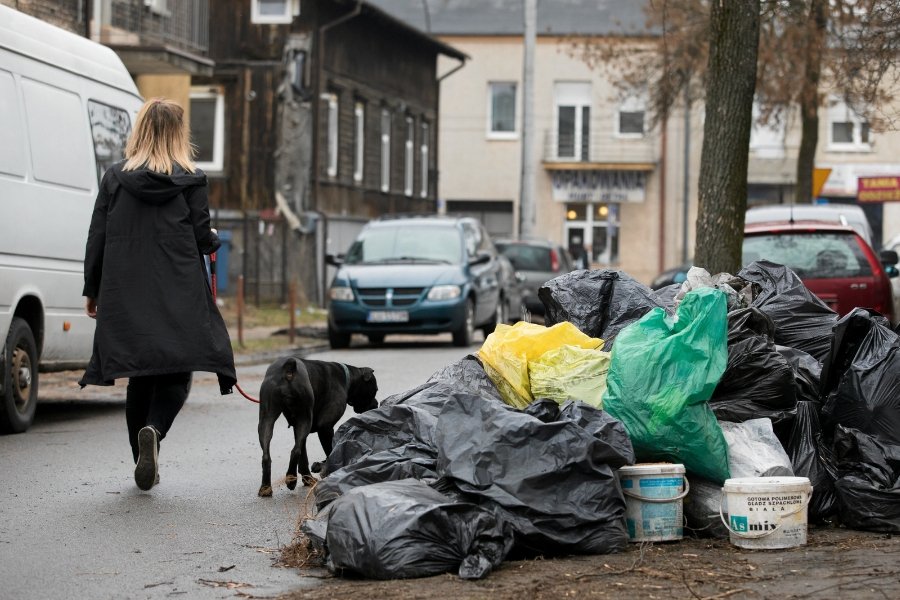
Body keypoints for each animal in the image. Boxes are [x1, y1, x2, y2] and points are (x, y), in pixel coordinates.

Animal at [256, 356, 376, 496]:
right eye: (375, 389)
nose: (376, 404)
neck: (348, 378)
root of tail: (289, 369)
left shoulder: (297, 427)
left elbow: (304, 457)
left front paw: (307, 478)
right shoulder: (325, 428)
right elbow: (330, 451)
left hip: (267, 420)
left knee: (268, 455)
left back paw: (266, 487)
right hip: (304, 419)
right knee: (295, 451)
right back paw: (291, 479)